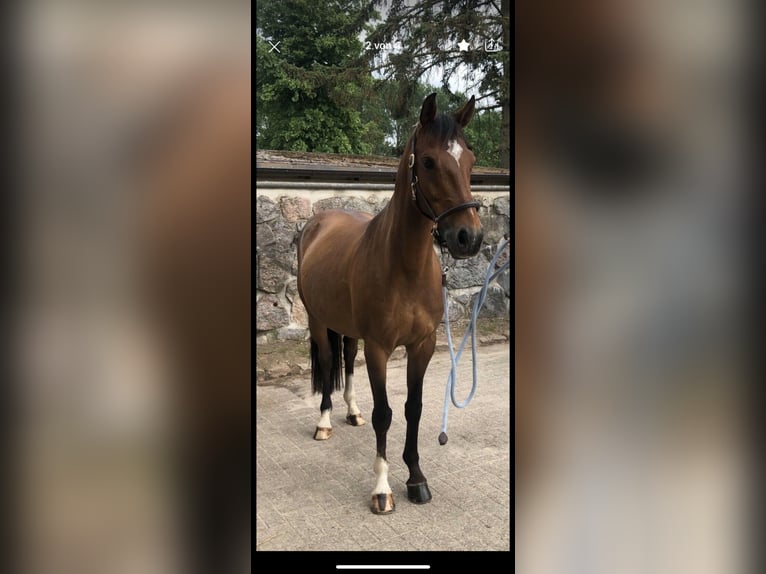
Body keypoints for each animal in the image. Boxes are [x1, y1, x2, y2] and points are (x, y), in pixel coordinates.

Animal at [296, 92, 484, 516]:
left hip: (348, 328)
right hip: (318, 320)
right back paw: (325, 423)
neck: (404, 266)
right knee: (329, 363)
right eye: (428, 161)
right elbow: (385, 414)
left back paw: (351, 412)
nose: (469, 237)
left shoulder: (422, 345)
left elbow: (413, 408)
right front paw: (382, 489)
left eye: (470, 159)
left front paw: (416, 478)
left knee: (347, 359)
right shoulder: (380, 348)